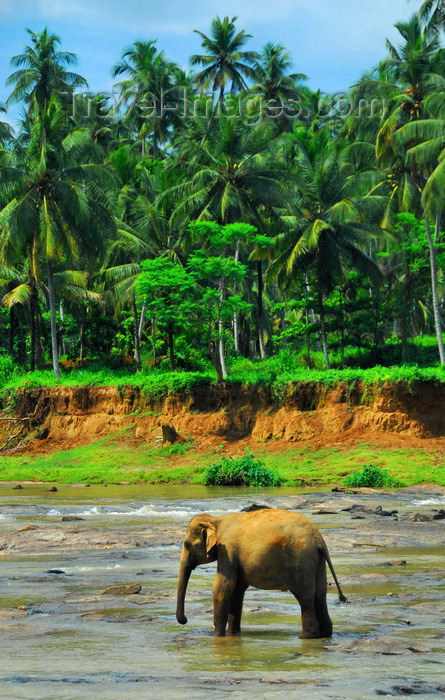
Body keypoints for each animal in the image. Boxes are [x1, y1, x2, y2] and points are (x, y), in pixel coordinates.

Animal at [175, 506, 346, 636]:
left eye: (187, 545)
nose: (185, 620)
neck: (216, 520)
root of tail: (319, 538)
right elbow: (237, 590)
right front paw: (233, 635)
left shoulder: (227, 550)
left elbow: (223, 587)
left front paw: (216, 636)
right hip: (318, 561)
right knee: (320, 594)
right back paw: (325, 634)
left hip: (300, 560)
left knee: (305, 596)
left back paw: (306, 637)